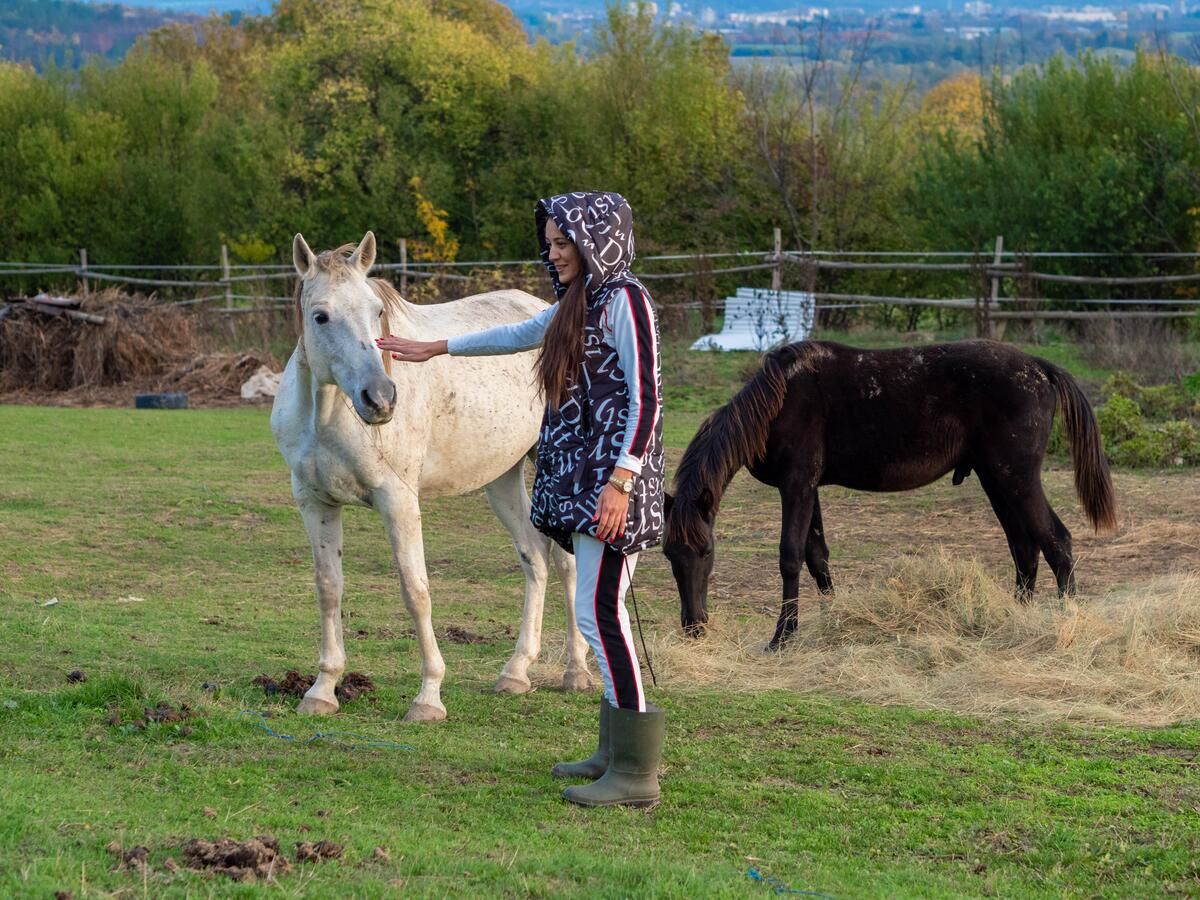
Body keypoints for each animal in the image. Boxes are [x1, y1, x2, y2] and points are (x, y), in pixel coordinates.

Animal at [272, 234, 590, 724]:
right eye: (320, 315)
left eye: (376, 312)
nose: (381, 399)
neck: (326, 414)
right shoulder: (314, 503)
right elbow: (329, 588)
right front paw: (322, 689)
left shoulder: (398, 501)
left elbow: (415, 591)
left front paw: (428, 697)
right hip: (501, 479)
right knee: (535, 558)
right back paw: (516, 672)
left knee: (567, 565)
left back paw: (576, 671)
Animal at [667, 340, 1113, 648]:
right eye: (670, 554)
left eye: (707, 551)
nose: (694, 626)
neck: (779, 401)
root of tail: (1040, 367)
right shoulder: (808, 489)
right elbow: (817, 557)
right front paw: (832, 620)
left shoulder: (796, 486)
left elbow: (790, 558)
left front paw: (783, 637)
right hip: (997, 479)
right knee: (1024, 547)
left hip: (1016, 477)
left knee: (1056, 542)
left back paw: (1067, 624)